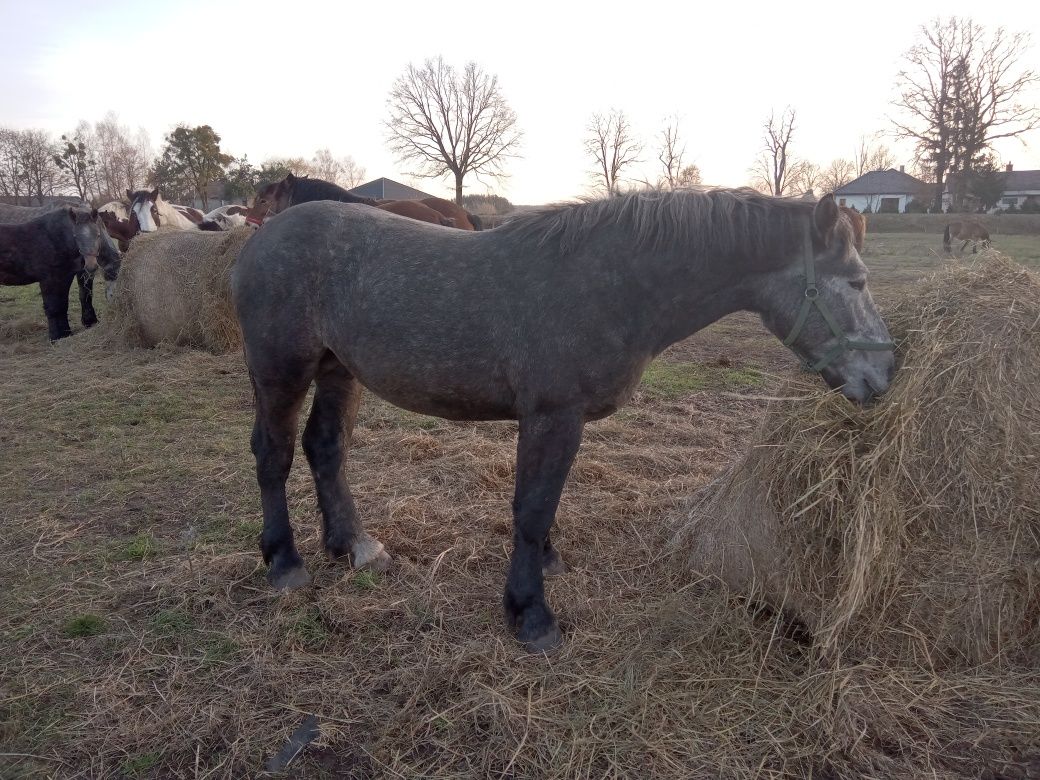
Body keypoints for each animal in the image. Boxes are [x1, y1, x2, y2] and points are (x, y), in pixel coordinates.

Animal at [0, 205, 121, 341]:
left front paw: (69, 331)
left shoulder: (66, 276)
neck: (57, 238)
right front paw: (57, 336)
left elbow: (67, 303)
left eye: (98, 235)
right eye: (75, 237)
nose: (91, 264)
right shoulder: (49, 279)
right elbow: (53, 306)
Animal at [233, 189, 894, 653]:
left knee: (325, 448)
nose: (884, 376)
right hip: (280, 372)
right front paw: (531, 615)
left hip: (337, 370)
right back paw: (285, 562)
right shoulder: (554, 415)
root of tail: (262, 239)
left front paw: (546, 566)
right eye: (856, 281)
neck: (609, 285)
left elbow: (545, 505)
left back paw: (353, 545)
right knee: (274, 453)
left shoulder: (557, 423)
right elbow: (532, 508)